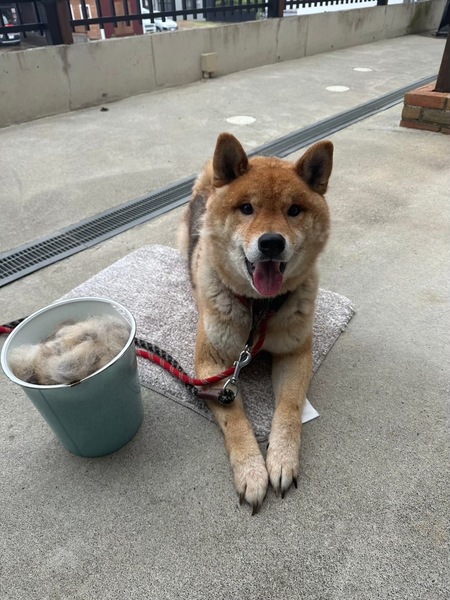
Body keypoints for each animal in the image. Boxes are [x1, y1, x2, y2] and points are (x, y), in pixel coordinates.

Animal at [179, 133, 333, 513]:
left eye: (294, 210)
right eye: (246, 208)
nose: (271, 242)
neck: (260, 310)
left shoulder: (295, 354)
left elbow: (290, 408)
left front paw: (281, 459)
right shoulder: (213, 365)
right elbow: (235, 419)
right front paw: (251, 471)